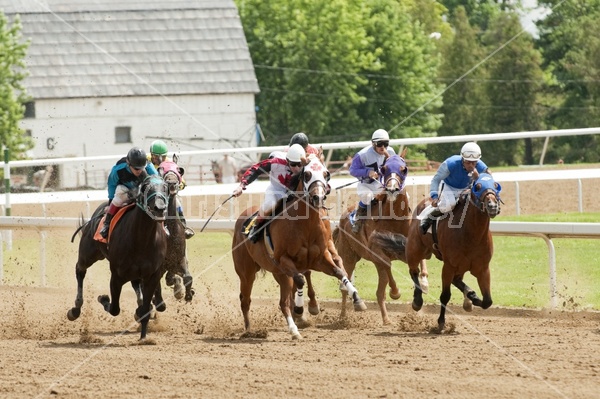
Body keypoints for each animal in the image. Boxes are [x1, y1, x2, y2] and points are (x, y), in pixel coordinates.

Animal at [69, 176, 170, 340]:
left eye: (166, 187)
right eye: (146, 187)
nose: (159, 208)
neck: (142, 239)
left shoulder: (152, 275)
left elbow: (145, 310)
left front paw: (143, 337)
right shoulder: (116, 276)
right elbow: (114, 309)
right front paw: (103, 298)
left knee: (136, 286)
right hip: (88, 254)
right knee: (80, 270)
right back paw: (75, 308)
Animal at [233, 156, 366, 340]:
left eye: (326, 173)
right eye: (307, 174)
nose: (318, 197)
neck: (305, 225)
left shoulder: (320, 259)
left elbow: (339, 272)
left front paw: (358, 299)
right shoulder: (285, 260)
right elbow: (301, 280)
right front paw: (300, 309)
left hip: (279, 274)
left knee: (283, 302)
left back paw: (293, 328)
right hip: (247, 273)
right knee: (246, 300)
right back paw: (250, 330)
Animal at [332, 153, 426, 324]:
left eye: (404, 169)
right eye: (384, 168)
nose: (392, 189)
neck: (395, 220)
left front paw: (424, 284)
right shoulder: (377, 251)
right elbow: (387, 263)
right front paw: (395, 292)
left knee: (379, 292)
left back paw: (386, 319)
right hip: (348, 257)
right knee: (345, 286)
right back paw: (344, 316)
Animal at [376, 173, 502, 332]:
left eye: (496, 185)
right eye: (478, 187)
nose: (492, 206)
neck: (472, 234)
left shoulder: (482, 268)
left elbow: (487, 301)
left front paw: (473, 298)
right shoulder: (448, 266)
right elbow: (445, 296)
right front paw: (441, 322)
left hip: (458, 265)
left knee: (457, 279)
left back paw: (469, 297)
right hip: (415, 249)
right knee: (414, 271)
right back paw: (417, 301)